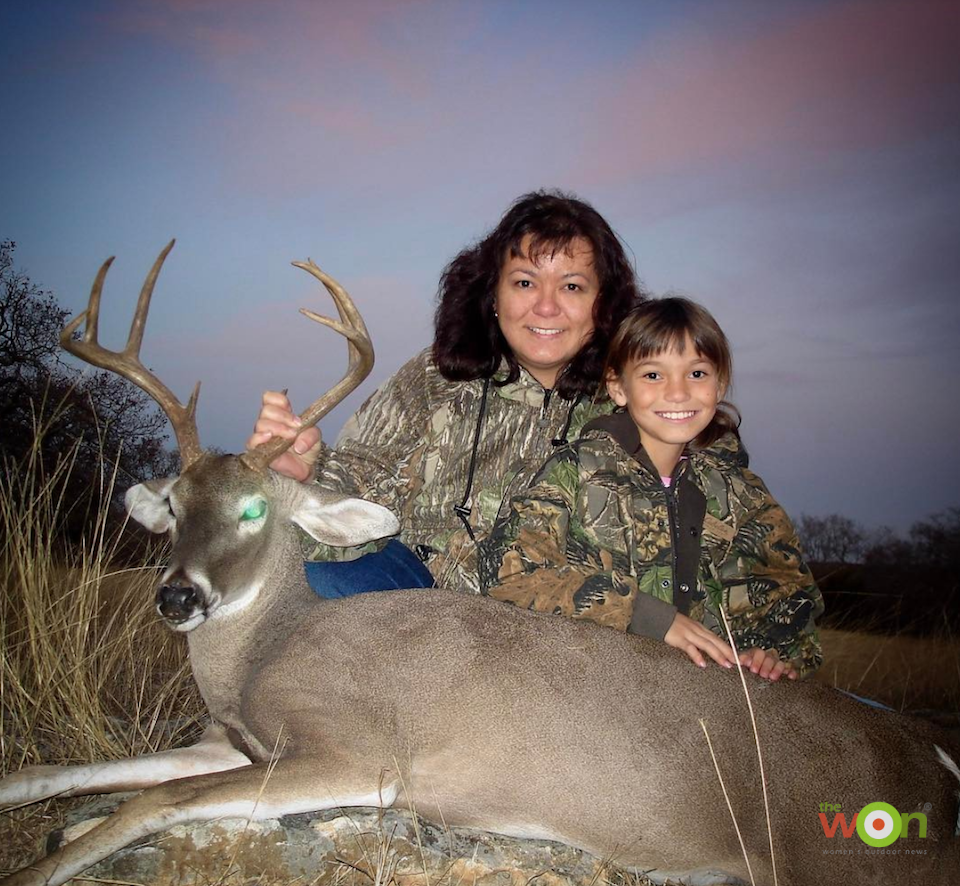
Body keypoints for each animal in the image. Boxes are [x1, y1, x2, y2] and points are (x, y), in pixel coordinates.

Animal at [1, 243, 960, 886]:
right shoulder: (227, 738)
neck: (266, 653)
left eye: (252, 510)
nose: (178, 597)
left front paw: (36, 868)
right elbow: (67, 772)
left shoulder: (357, 747)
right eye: (172, 510)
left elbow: (146, 804)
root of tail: (933, 762)